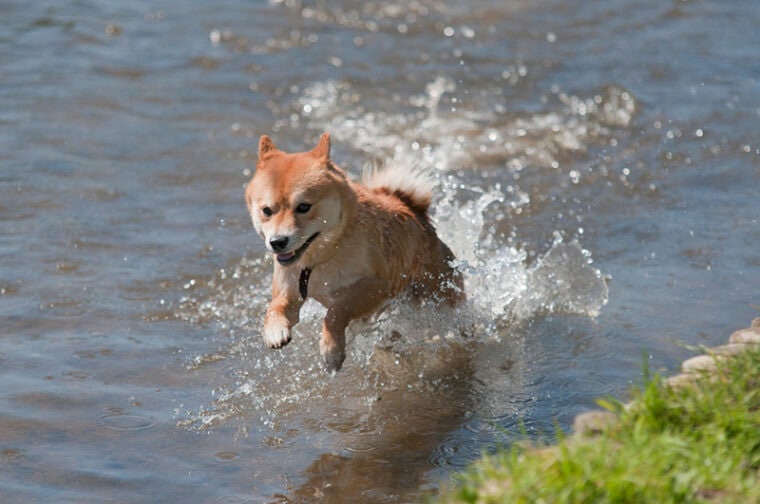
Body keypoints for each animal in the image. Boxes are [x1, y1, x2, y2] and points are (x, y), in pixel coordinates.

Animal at [246, 133, 466, 370]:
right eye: (267, 211)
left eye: (303, 207)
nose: (277, 242)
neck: (321, 259)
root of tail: (414, 210)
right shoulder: (290, 291)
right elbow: (275, 307)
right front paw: (274, 330)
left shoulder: (376, 286)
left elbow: (336, 310)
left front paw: (331, 350)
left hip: (441, 294)